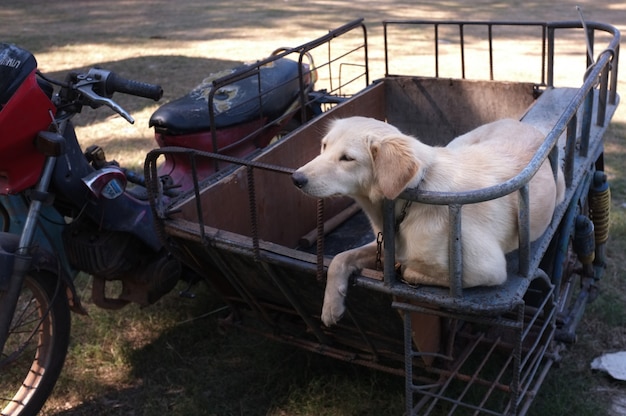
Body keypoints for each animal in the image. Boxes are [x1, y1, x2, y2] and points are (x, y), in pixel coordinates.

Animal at [290, 115, 564, 326]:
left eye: (347, 158)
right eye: (324, 146)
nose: (296, 178)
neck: (412, 199)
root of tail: (524, 125)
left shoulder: (488, 269)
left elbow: (409, 272)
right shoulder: (387, 243)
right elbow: (339, 258)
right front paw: (331, 306)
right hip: (456, 143)